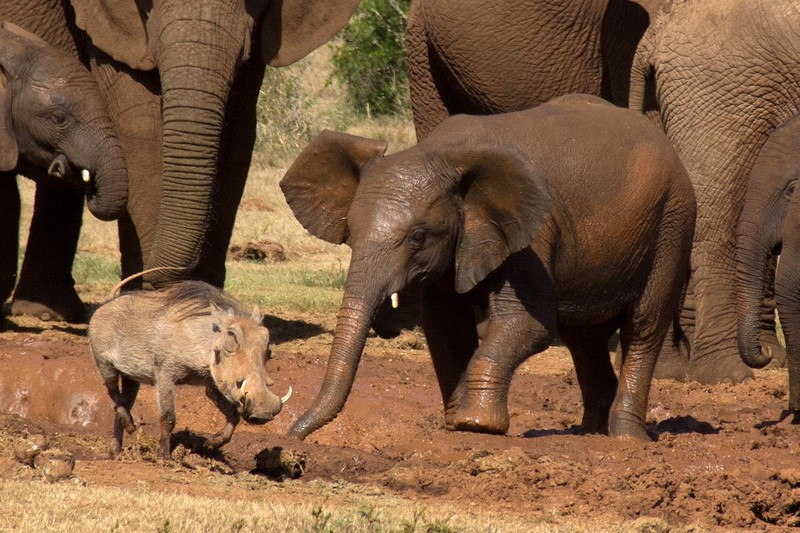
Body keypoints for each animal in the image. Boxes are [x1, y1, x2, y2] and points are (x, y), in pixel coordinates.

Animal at [89, 280, 292, 460]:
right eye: (232, 335)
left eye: (266, 337)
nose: (263, 411)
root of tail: (106, 303)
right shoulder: (165, 373)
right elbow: (168, 417)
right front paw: (164, 458)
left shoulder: (213, 384)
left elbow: (234, 415)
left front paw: (210, 444)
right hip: (105, 364)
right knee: (113, 392)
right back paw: (131, 427)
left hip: (131, 377)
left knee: (122, 403)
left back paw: (115, 451)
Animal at [284, 92, 696, 440]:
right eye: (350, 232)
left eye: (418, 236)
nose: (291, 435)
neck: (440, 155)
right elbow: (445, 326)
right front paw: (456, 422)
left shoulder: (531, 234)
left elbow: (528, 324)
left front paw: (477, 424)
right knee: (584, 337)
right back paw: (589, 433)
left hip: (672, 223)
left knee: (643, 327)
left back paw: (626, 439)